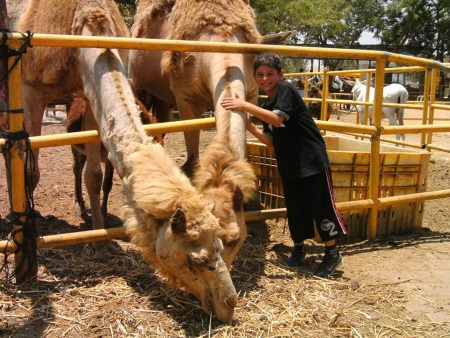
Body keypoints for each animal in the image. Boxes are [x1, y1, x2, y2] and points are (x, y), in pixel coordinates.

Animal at [13, 0, 239, 322]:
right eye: (194, 259)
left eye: (221, 243)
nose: (229, 303)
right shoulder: (30, 88)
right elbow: (30, 170)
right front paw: (27, 252)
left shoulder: (88, 95)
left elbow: (95, 175)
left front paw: (102, 245)